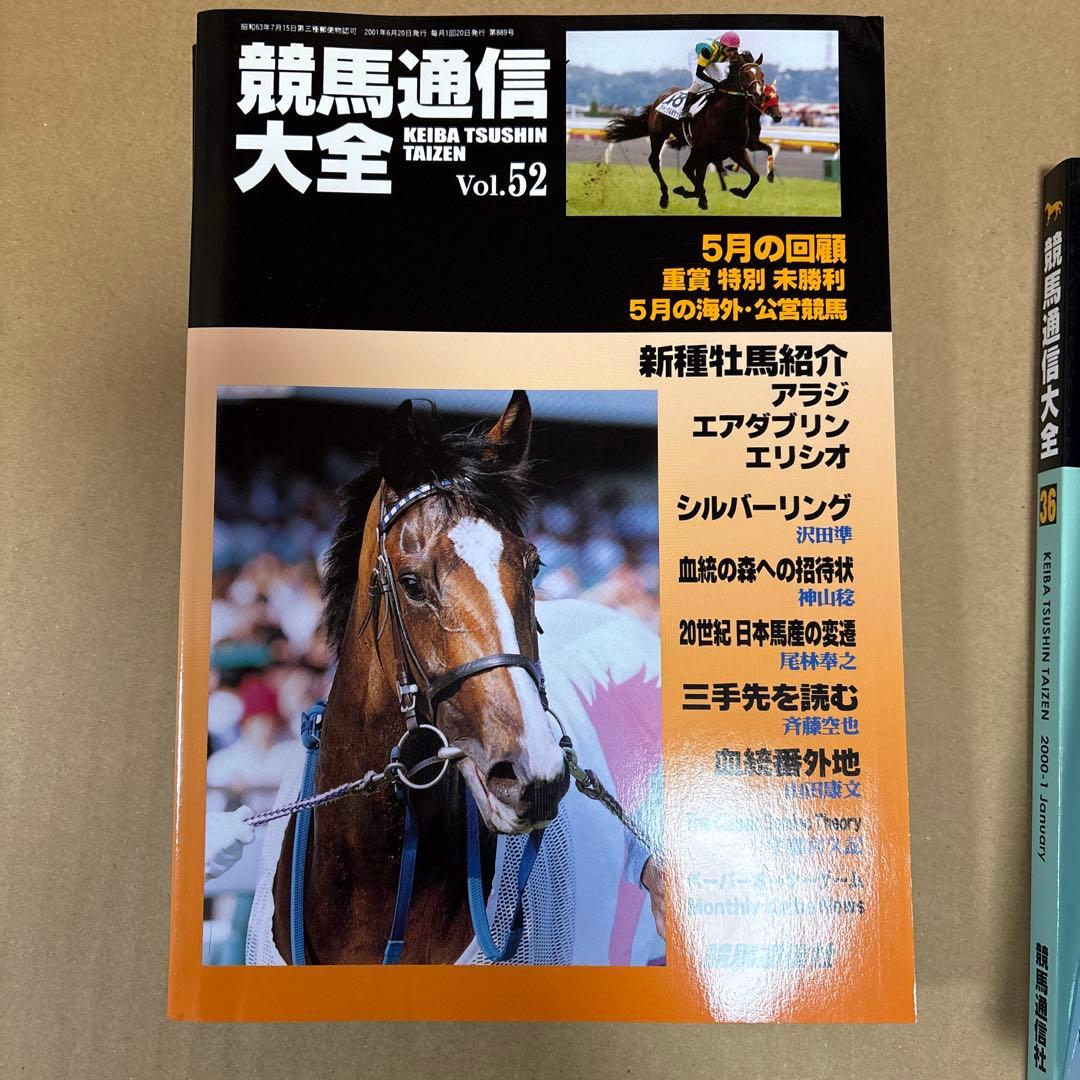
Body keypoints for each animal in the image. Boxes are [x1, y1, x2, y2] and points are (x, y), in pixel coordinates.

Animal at [605, 55, 766, 210]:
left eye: (762, 75)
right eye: (745, 74)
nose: (758, 95)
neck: (727, 117)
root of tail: (660, 97)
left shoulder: (736, 151)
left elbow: (755, 176)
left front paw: (738, 191)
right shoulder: (705, 153)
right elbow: (700, 183)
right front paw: (694, 196)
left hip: (693, 148)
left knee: (687, 169)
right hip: (658, 135)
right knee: (655, 161)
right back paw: (664, 197)